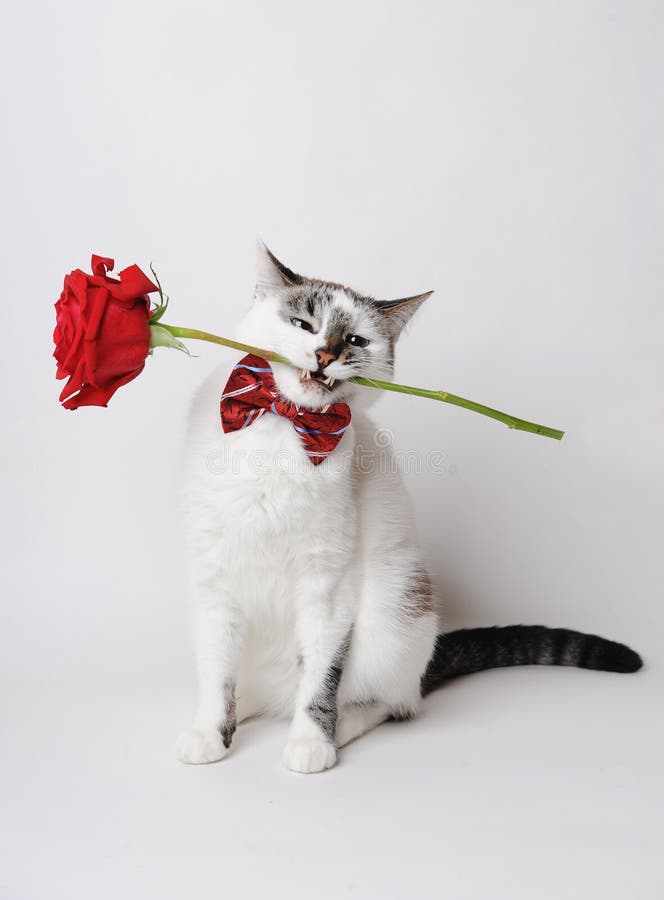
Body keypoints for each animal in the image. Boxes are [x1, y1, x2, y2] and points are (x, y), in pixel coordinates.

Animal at [175, 244, 640, 772]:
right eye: (301, 323)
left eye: (355, 340)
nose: (326, 354)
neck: (283, 425)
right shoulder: (215, 578)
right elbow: (218, 673)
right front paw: (210, 732)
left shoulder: (327, 584)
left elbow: (321, 678)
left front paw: (313, 742)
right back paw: (249, 708)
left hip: (394, 607)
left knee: (390, 703)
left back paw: (340, 727)